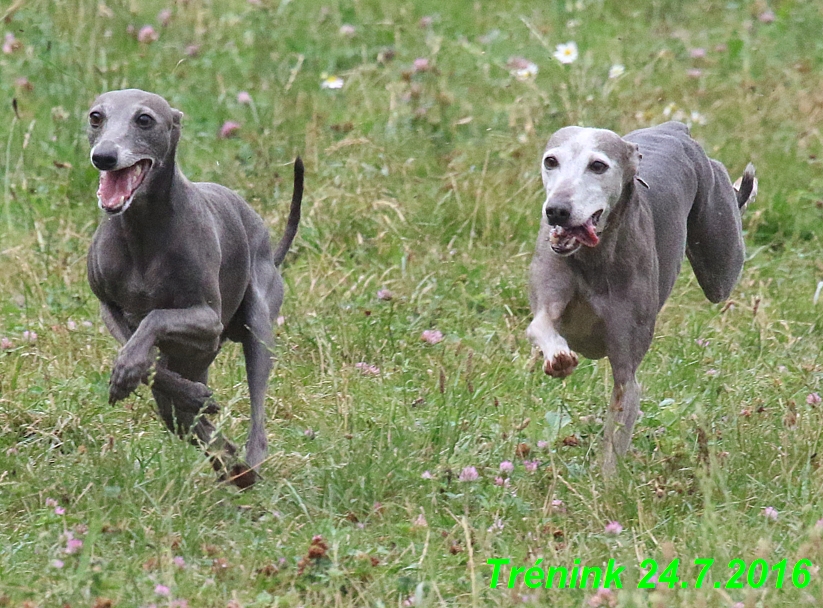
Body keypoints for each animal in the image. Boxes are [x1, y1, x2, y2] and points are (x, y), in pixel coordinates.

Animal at [86, 89, 302, 490]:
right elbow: (142, 356)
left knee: (257, 414)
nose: (104, 156)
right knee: (182, 416)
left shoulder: (207, 320)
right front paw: (168, 386)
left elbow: (154, 318)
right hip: (195, 361)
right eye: (96, 117)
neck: (143, 231)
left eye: (144, 119)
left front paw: (130, 371)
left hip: (255, 325)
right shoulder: (108, 306)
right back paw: (221, 449)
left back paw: (247, 464)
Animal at [528, 121, 760, 472]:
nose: (556, 210)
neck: (593, 258)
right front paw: (558, 358)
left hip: (721, 266)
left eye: (598, 166)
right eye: (550, 161)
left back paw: (741, 189)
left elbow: (616, 438)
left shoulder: (627, 375)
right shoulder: (548, 296)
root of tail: (676, 129)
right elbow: (540, 326)